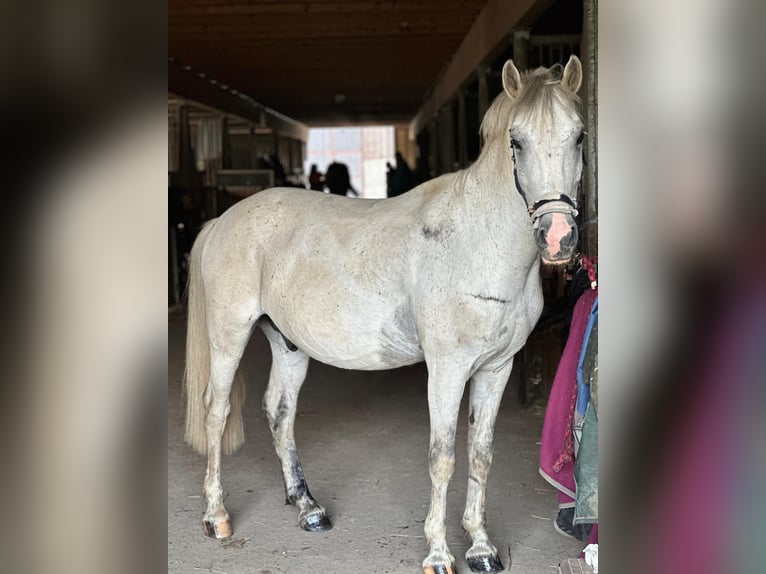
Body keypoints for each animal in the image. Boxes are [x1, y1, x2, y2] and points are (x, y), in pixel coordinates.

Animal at [184, 55, 584, 574]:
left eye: (579, 137)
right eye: (517, 140)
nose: (558, 238)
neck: (478, 243)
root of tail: (223, 220)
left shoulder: (496, 368)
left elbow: (480, 454)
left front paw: (481, 547)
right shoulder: (447, 370)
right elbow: (442, 457)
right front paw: (439, 554)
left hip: (288, 344)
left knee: (279, 411)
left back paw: (308, 507)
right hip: (229, 334)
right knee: (216, 411)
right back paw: (217, 516)